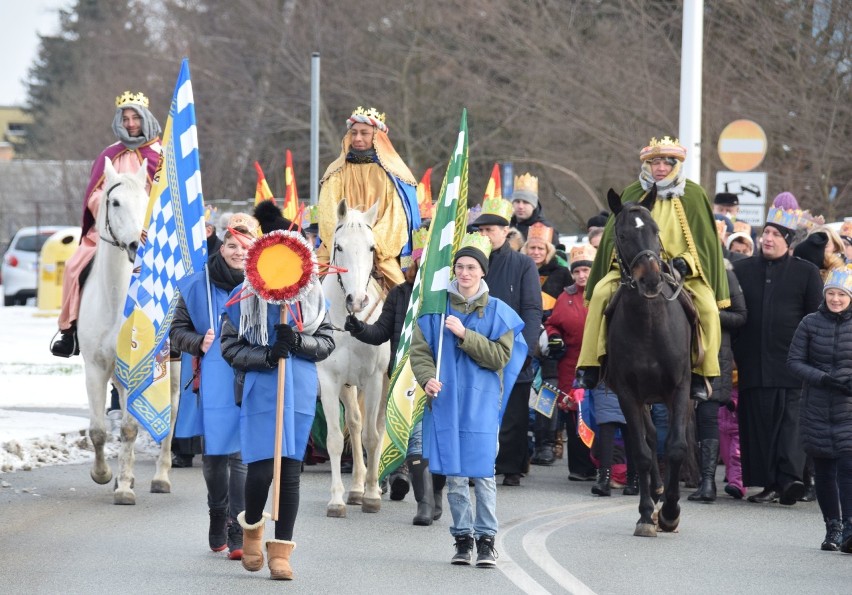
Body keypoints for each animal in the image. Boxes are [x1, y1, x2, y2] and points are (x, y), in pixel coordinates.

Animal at [77, 157, 177, 502]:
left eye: (146, 200)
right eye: (115, 202)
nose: (136, 244)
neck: (115, 299)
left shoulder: (138, 367)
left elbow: (131, 429)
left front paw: (122, 488)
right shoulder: (95, 366)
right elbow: (98, 430)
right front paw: (104, 474)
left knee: (171, 417)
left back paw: (161, 477)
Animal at [604, 187, 696, 540]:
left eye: (656, 231)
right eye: (623, 234)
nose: (652, 280)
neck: (648, 325)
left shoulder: (680, 389)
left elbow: (677, 447)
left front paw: (670, 512)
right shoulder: (628, 393)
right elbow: (642, 452)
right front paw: (646, 514)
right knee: (650, 436)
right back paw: (655, 492)